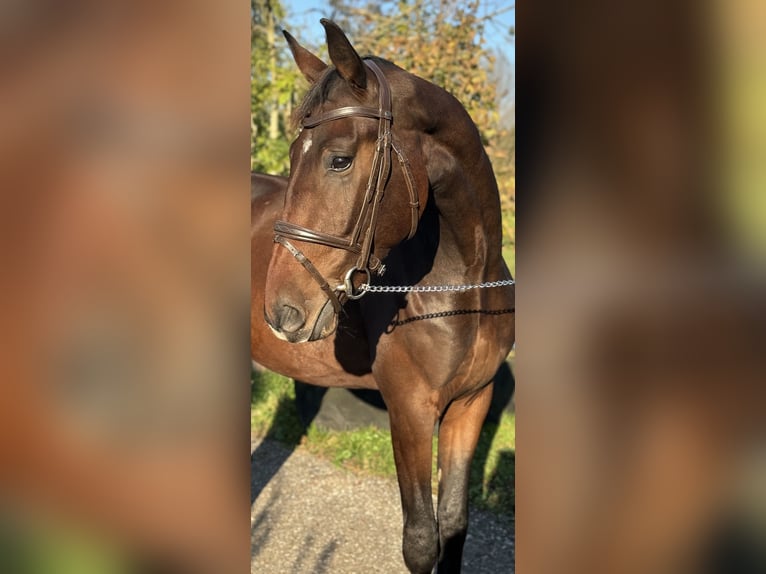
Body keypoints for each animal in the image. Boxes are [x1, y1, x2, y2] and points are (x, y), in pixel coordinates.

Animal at [252, 20, 516, 572]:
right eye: (292, 157)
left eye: (339, 160)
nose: (282, 311)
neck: (467, 287)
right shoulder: (410, 411)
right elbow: (420, 539)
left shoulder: (471, 404)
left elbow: (454, 522)